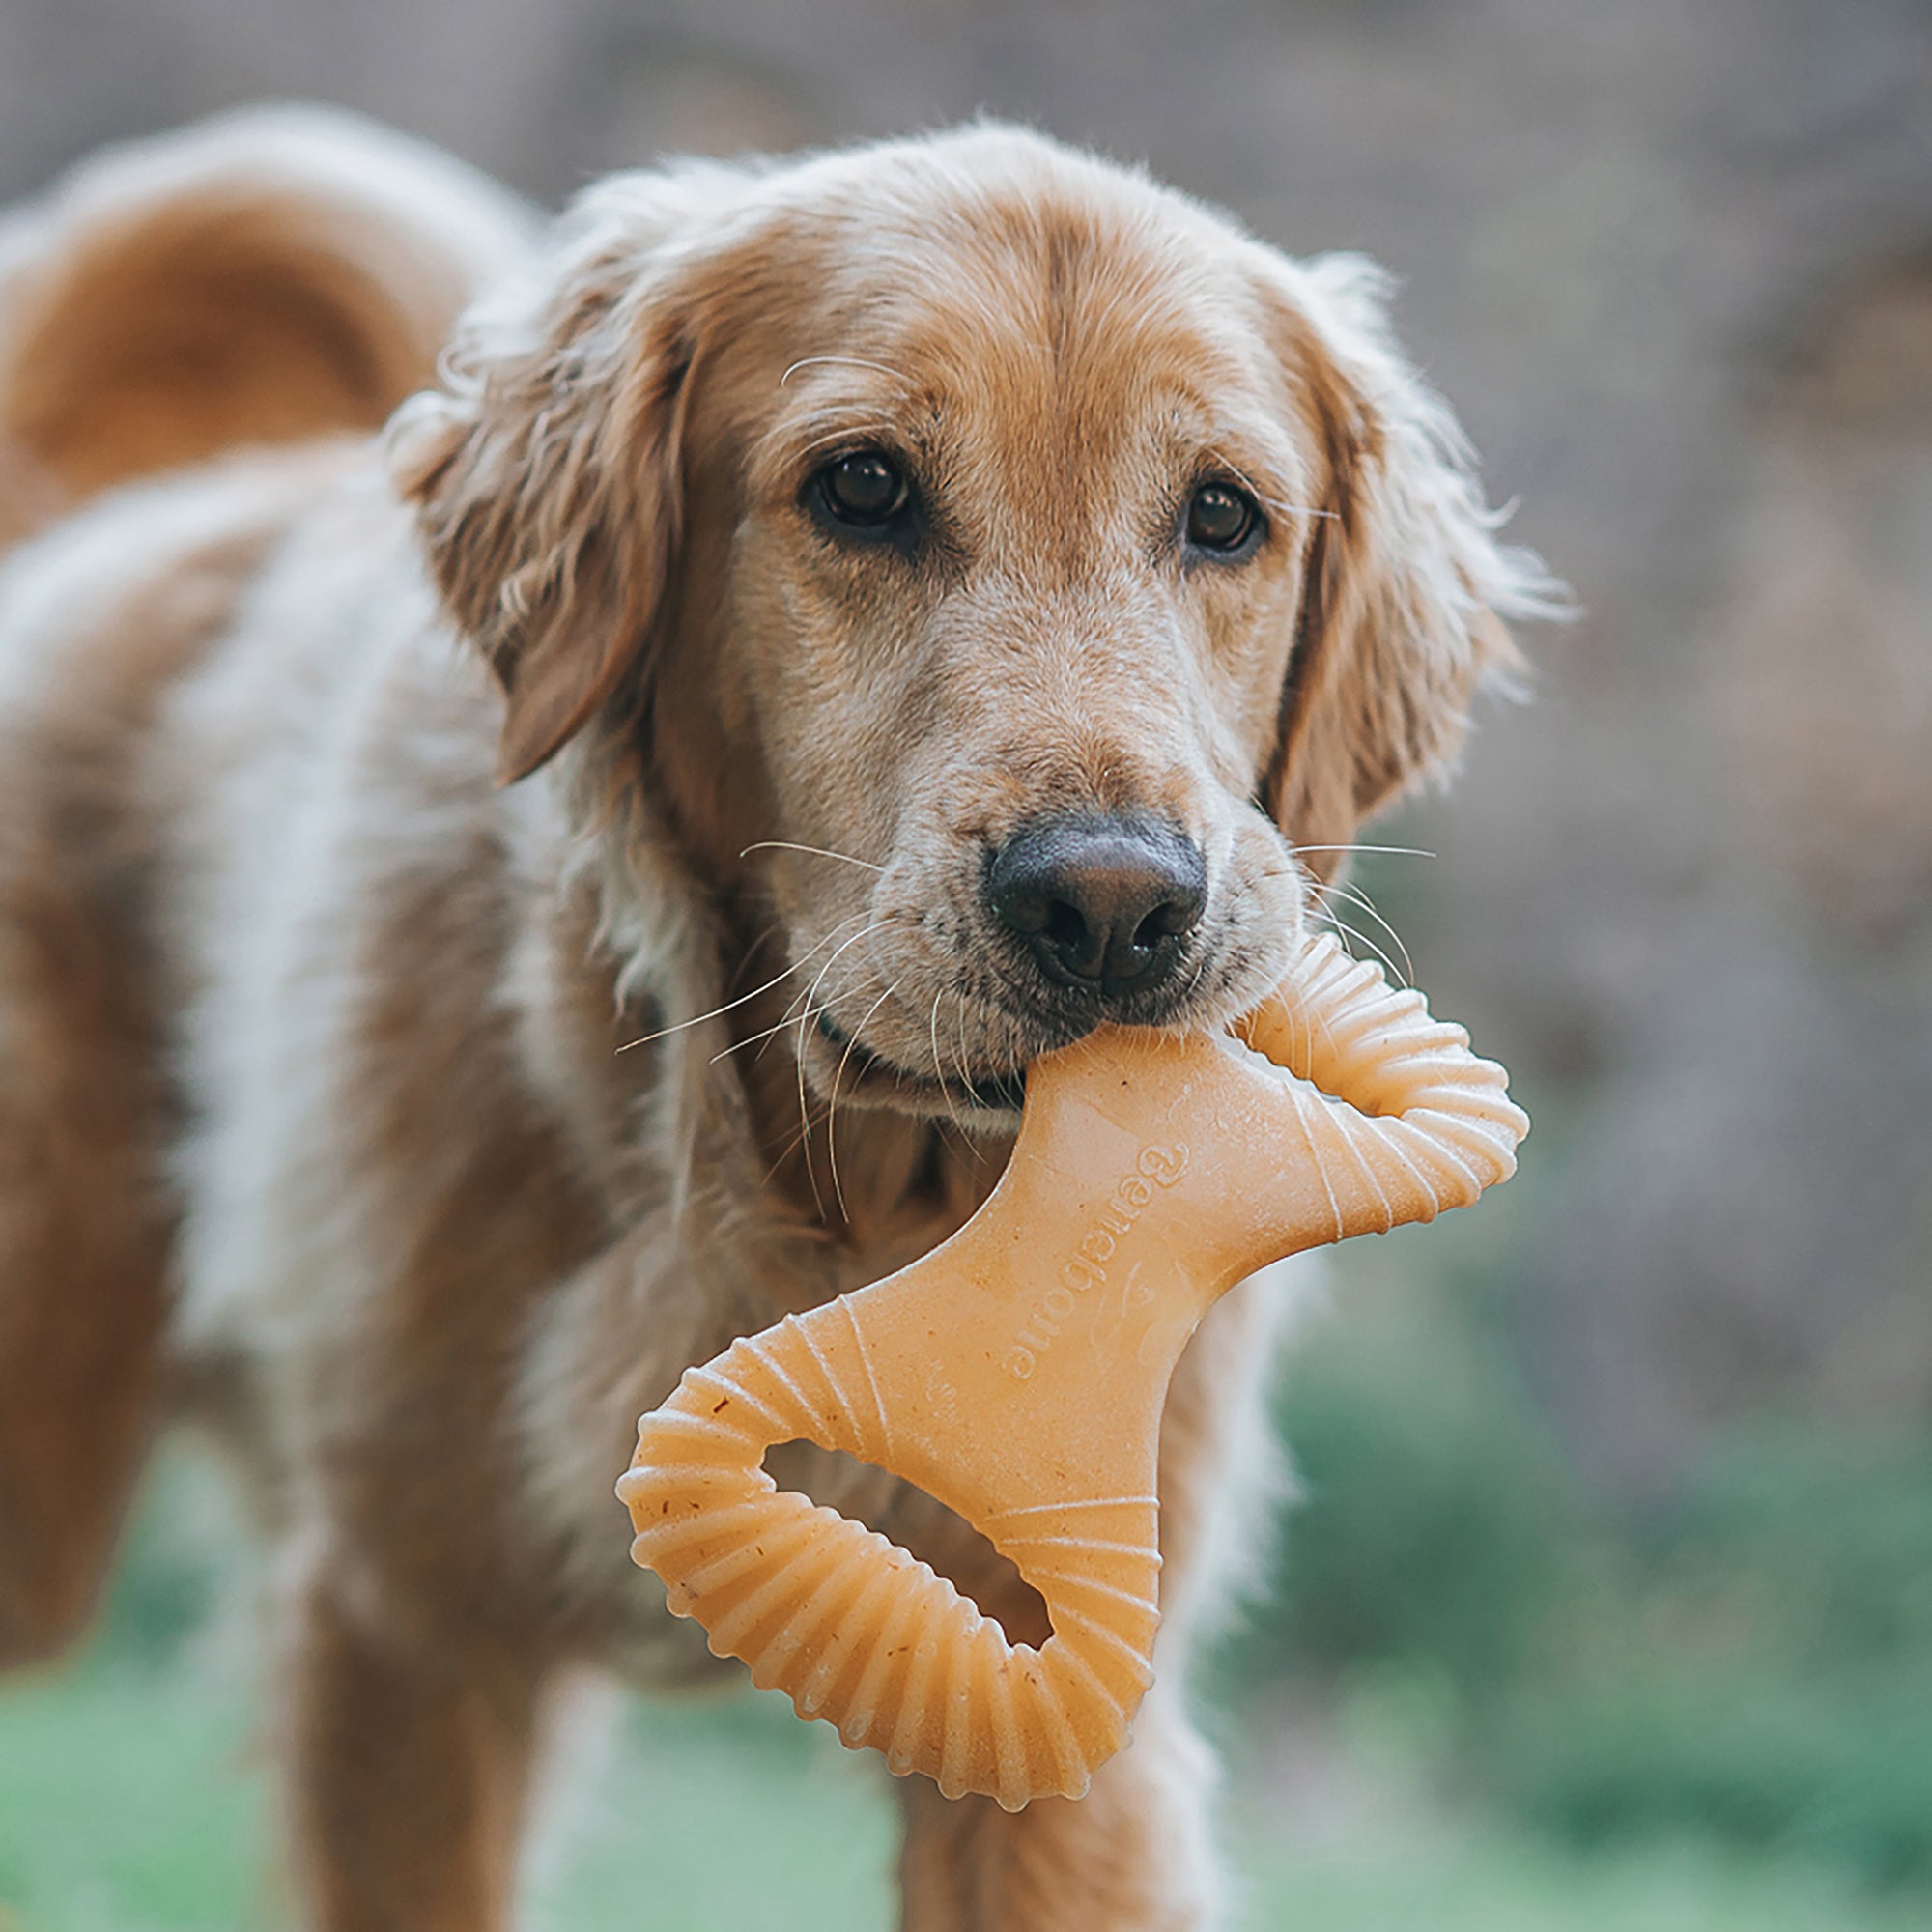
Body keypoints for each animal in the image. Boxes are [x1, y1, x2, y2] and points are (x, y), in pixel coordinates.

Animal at [0, 109, 1546, 1932]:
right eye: (863, 487)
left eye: (1225, 517)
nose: (1113, 910)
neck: (815, 1197)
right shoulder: (406, 1639)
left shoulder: (1074, 1724)